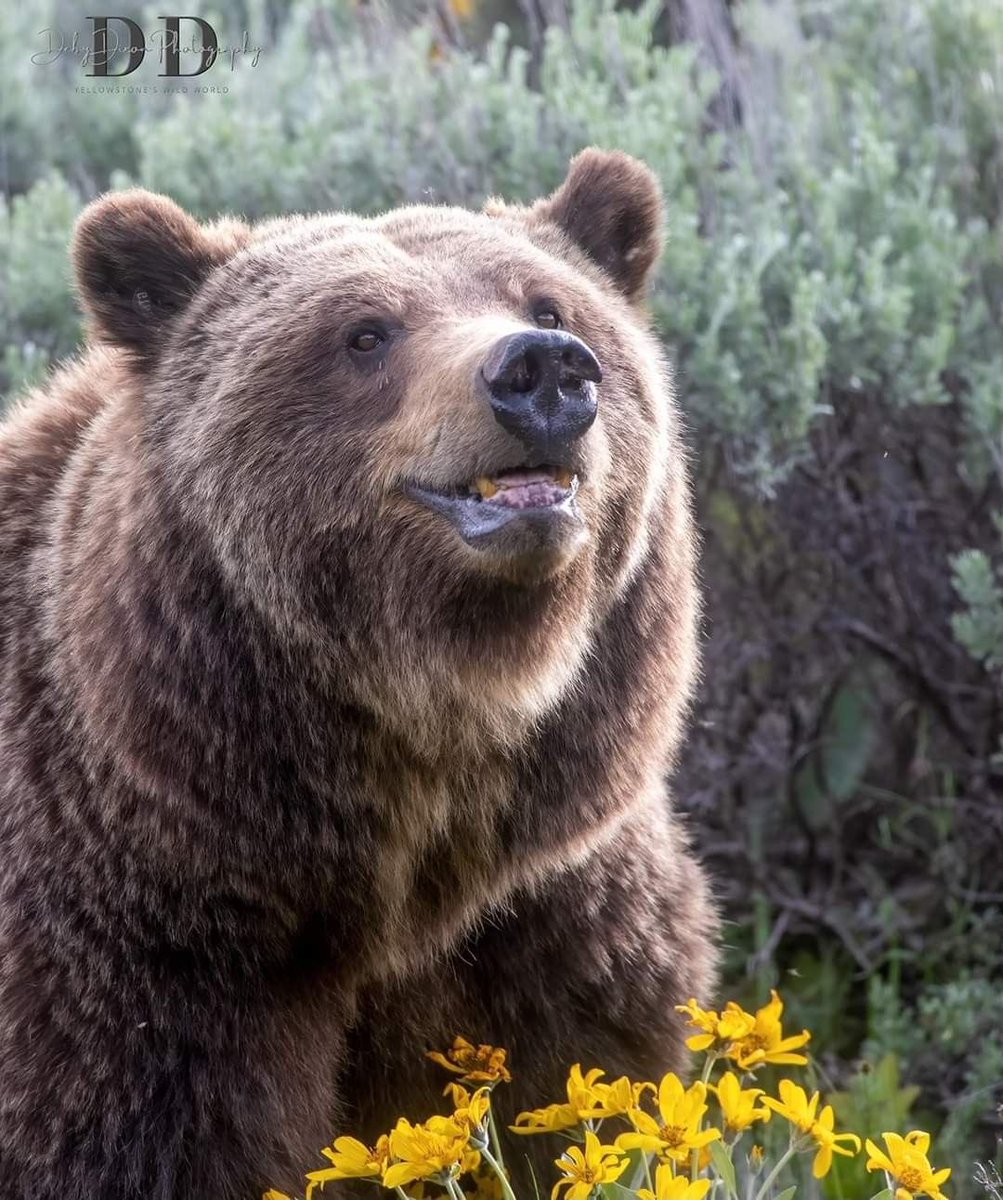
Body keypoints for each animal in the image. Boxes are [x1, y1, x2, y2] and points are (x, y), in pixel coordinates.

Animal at [0, 149, 716, 1200]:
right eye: (365, 333)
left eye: (549, 304)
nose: (541, 371)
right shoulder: (131, 962)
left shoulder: (550, 919)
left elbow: (566, 1096)